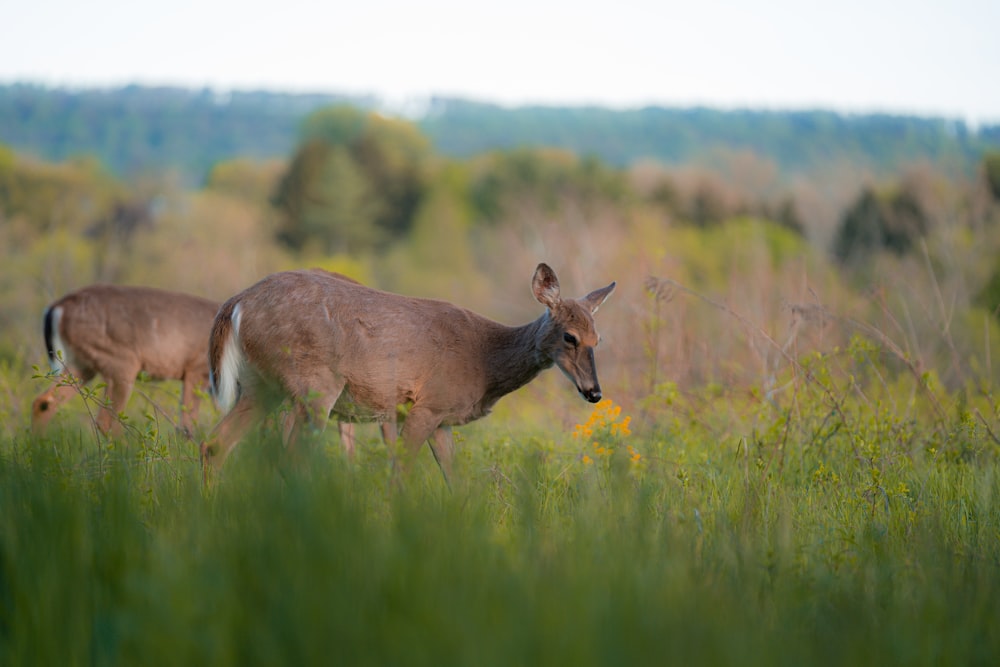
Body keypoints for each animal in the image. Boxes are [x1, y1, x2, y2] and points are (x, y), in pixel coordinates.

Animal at [31, 284, 221, 436]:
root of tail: (57, 307)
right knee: (107, 422)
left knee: (44, 403)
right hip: (121, 363)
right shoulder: (197, 370)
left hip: (80, 364)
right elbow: (188, 426)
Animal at [199, 262, 612, 486]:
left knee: (215, 444)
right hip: (313, 384)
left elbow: (456, 482)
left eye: (598, 338)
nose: (594, 392)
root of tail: (236, 303)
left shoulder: (443, 418)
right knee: (290, 456)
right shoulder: (426, 406)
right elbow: (400, 471)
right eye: (570, 336)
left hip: (261, 385)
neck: (485, 360)